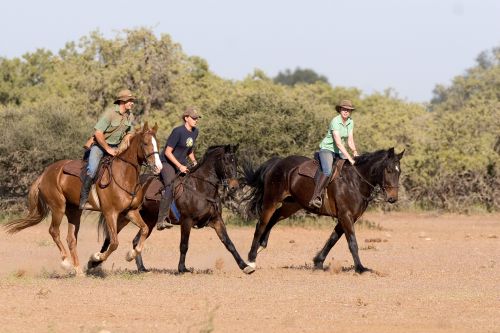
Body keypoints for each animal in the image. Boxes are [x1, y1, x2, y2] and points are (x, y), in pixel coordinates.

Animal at [5, 123, 162, 274]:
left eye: (157, 143)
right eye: (145, 143)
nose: (158, 167)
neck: (122, 175)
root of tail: (44, 174)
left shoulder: (130, 211)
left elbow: (144, 230)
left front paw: (130, 254)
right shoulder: (110, 213)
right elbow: (114, 242)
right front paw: (96, 257)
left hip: (74, 211)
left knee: (71, 239)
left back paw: (78, 270)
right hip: (58, 207)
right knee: (54, 231)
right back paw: (66, 263)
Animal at [95, 144, 256, 274]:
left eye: (236, 161)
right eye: (225, 161)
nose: (234, 186)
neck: (200, 187)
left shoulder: (216, 220)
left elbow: (229, 243)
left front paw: (245, 266)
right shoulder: (186, 221)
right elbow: (184, 245)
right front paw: (182, 268)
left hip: (148, 220)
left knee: (136, 240)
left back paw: (141, 268)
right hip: (122, 216)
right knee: (110, 238)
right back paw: (95, 263)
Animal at [244, 148, 404, 272]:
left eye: (399, 172)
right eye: (389, 170)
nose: (393, 198)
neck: (354, 181)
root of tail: (277, 163)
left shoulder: (347, 217)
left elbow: (332, 239)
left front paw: (318, 262)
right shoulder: (345, 216)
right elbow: (352, 242)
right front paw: (360, 268)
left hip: (292, 205)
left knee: (275, 218)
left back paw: (262, 245)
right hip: (271, 201)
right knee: (261, 224)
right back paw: (251, 260)